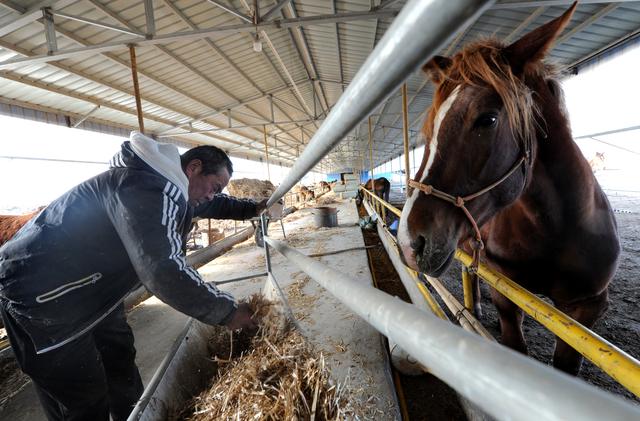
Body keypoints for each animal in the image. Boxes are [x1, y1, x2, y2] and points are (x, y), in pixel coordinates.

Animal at [398, 1, 616, 372]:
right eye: (430, 127)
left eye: (487, 119)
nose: (410, 243)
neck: (559, 228)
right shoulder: (505, 292)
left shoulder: (585, 311)